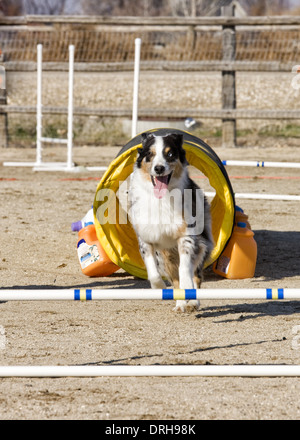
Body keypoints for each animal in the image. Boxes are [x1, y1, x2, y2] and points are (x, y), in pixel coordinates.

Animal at [128, 132, 213, 312]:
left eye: (170, 154)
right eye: (150, 154)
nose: (159, 168)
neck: (162, 197)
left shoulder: (187, 236)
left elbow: (185, 270)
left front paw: (189, 293)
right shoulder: (145, 238)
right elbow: (153, 272)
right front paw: (159, 287)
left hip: (202, 246)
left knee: (195, 276)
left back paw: (192, 302)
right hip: (166, 257)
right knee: (175, 280)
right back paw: (181, 304)